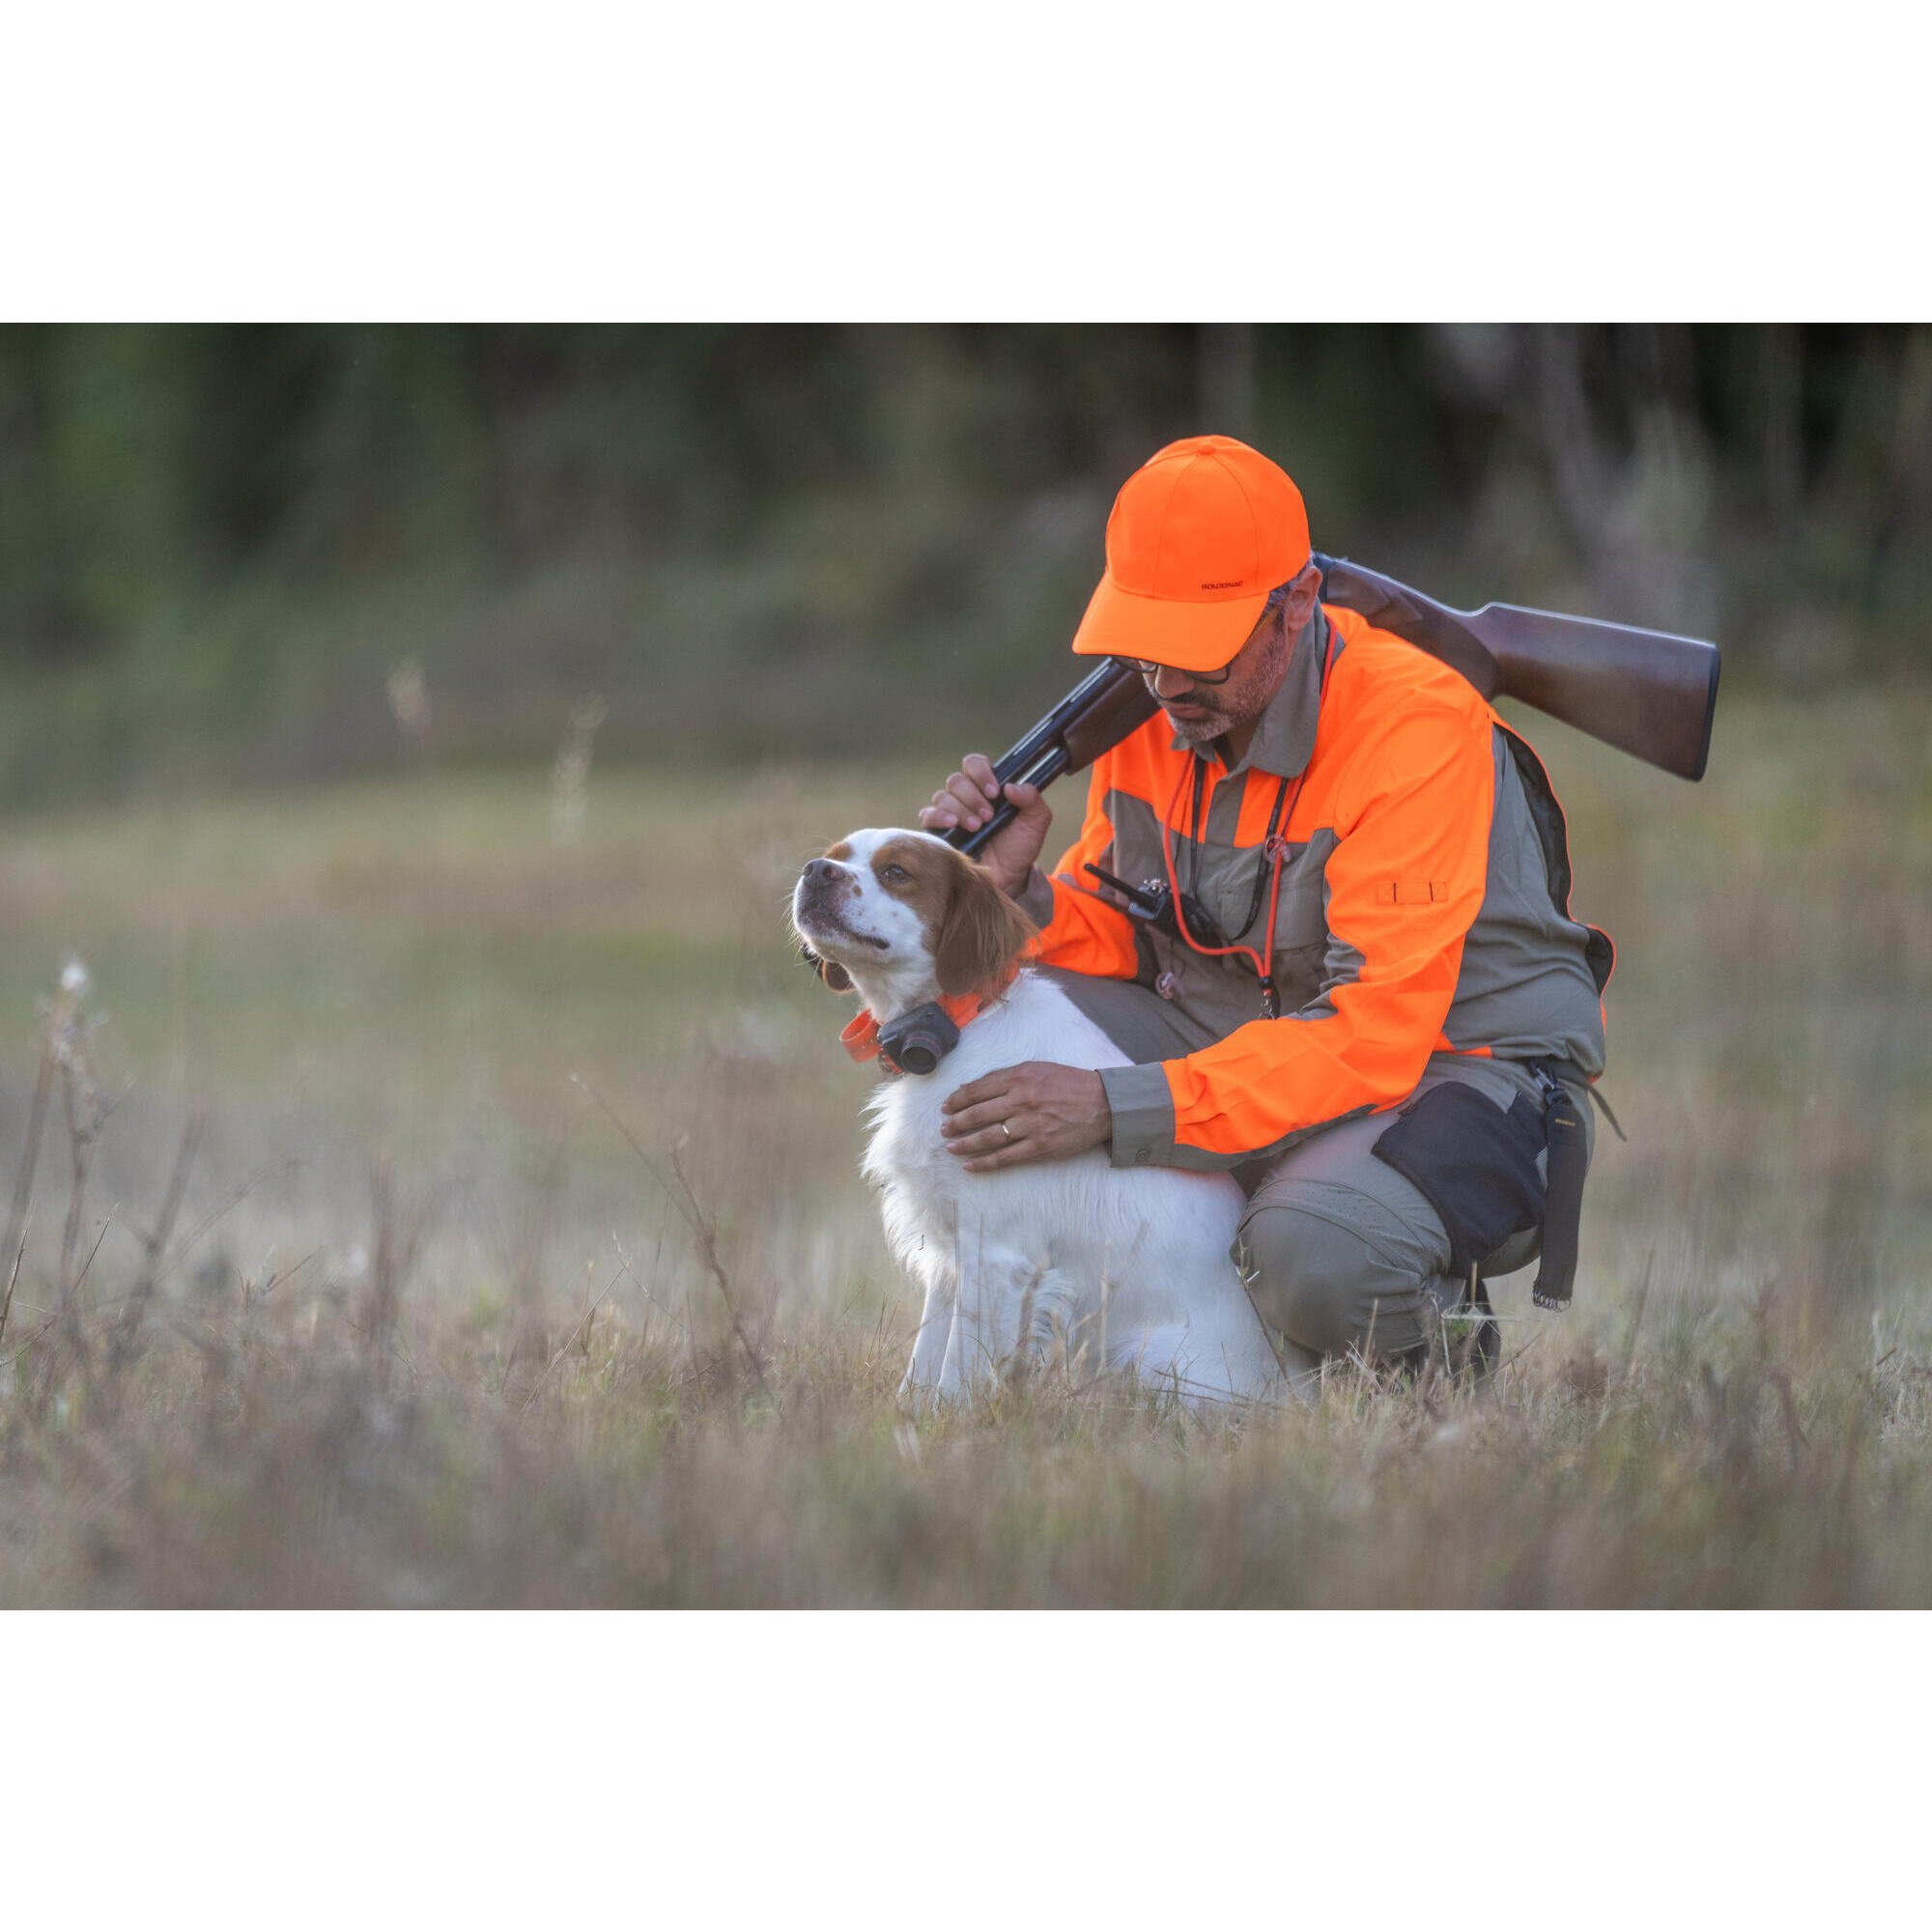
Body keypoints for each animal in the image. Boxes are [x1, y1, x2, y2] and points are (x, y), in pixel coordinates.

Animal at [792, 827, 1291, 1406]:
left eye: (898, 872)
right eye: (837, 856)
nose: (815, 871)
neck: (963, 1026)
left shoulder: (996, 1253)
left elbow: (955, 1377)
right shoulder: (950, 1252)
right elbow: (920, 1370)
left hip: (1146, 1360)